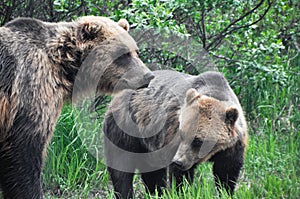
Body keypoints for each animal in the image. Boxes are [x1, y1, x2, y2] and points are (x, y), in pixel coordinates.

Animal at [102, 69, 247, 198]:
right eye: (182, 134)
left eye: (197, 140)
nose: (178, 161)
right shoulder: (172, 137)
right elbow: (180, 177)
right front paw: (182, 191)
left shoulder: (232, 147)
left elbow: (226, 172)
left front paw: (226, 191)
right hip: (126, 128)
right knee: (121, 167)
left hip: (148, 143)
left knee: (152, 171)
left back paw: (157, 192)